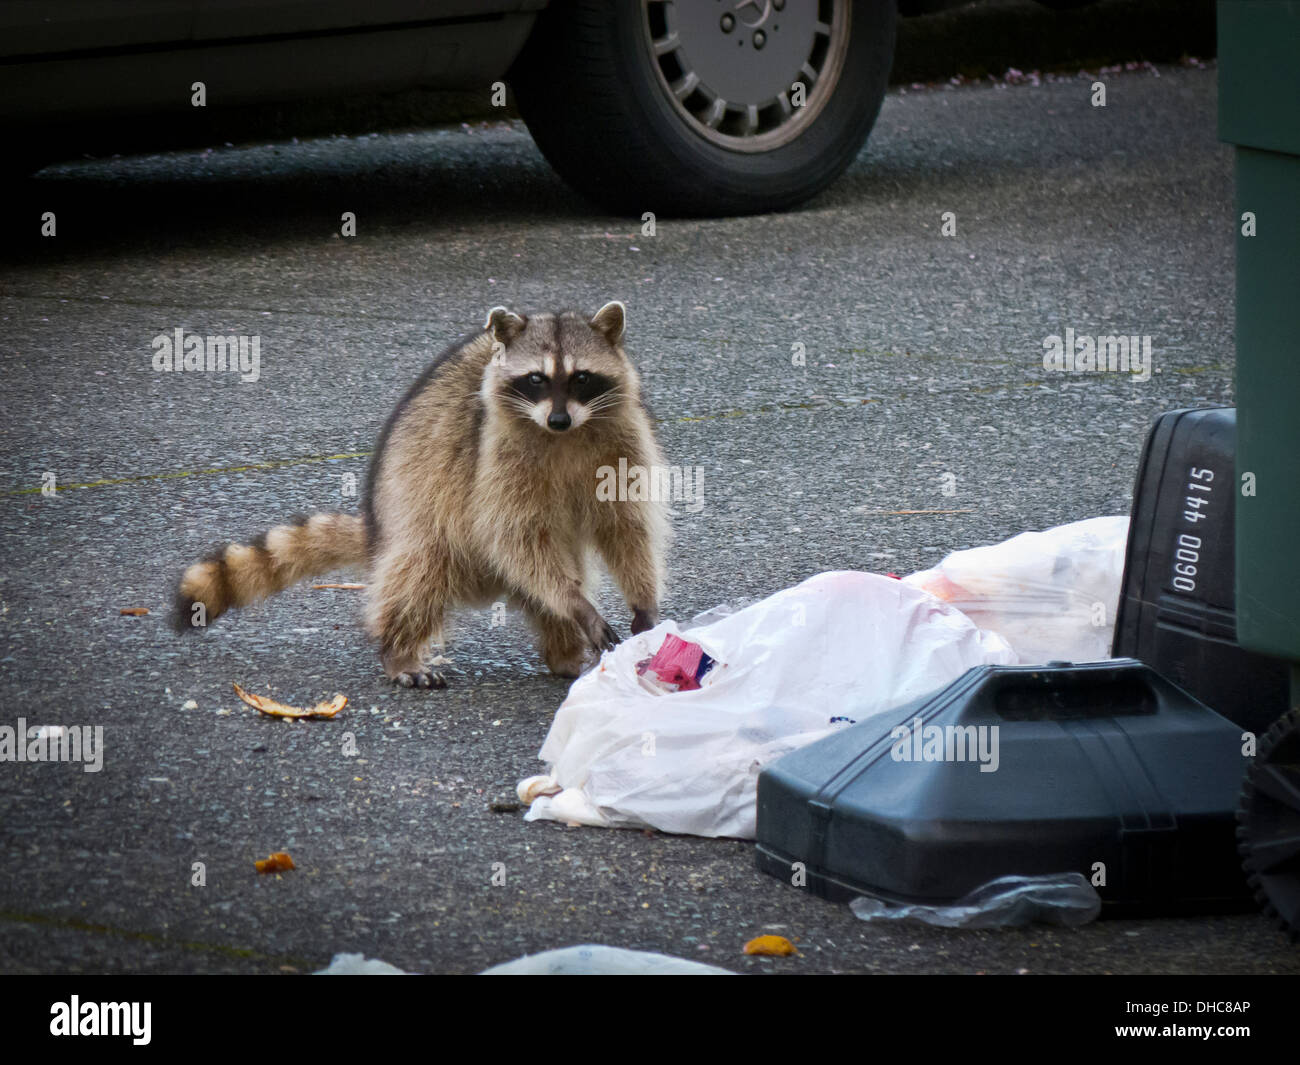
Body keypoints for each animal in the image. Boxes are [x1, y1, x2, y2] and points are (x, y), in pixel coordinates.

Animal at [175, 300, 670, 686]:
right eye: (536, 379)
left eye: (582, 377)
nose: (559, 420)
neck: (566, 435)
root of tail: (378, 530)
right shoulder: (495, 453)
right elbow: (513, 533)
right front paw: (579, 606)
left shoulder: (621, 440)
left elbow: (625, 524)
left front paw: (641, 601)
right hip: (417, 510)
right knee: (424, 567)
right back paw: (400, 650)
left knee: (550, 577)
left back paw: (564, 653)